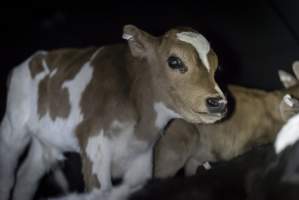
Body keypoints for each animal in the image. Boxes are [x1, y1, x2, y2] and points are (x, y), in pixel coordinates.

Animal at [0, 25, 227, 200]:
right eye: (175, 61)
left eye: (217, 67)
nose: (219, 102)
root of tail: (35, 58)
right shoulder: (94, 149)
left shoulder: (142, 160)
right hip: (13, 127)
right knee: (8, 174)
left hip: (46, 141)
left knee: (26, 177)